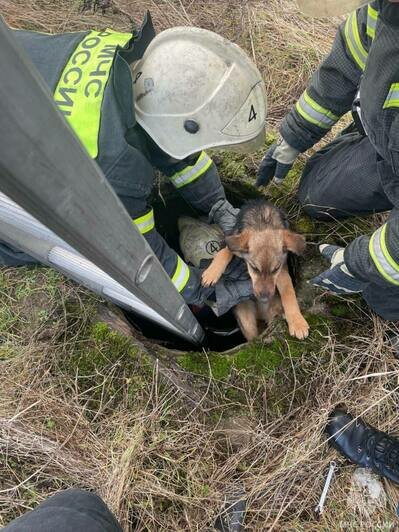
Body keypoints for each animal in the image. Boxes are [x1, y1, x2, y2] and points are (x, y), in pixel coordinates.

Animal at [203, 200, 310, 340]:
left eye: (275, 269)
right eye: (254, 268)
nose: (264, 298)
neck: (263, 221)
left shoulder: (282, 271)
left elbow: (289, 293)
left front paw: (297, 323)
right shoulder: (235, 239)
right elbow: (225, 251)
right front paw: (211, 273)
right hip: (247, 322)